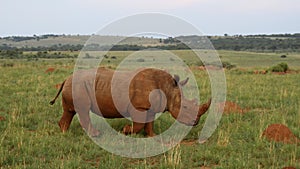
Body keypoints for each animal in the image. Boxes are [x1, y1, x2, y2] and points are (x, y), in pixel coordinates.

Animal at [49, 66, 211, 137]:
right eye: (185, 107)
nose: (196, 122)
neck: (167, 88)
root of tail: (66, 79)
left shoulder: (149, 107)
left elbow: (149, 123)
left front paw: (152, 136)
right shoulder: (139, 107)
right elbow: (139, 125)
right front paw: (126, 130)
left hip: (75, 86)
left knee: (70, 111)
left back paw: (64, 132)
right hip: (78, 86)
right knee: (83, 111)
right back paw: (96, 135)